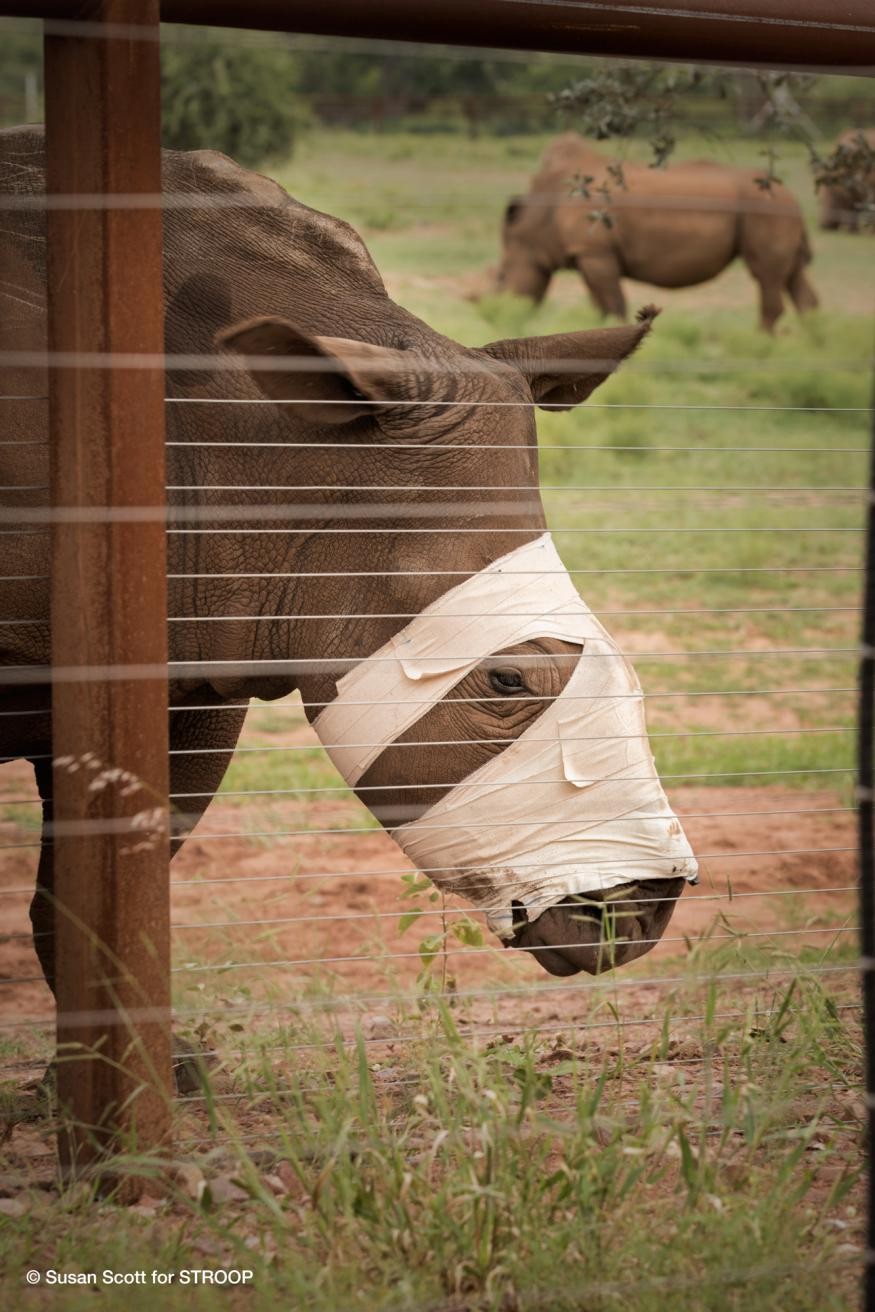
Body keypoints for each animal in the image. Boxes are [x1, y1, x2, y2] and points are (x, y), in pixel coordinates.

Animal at [493, 131, 823, 333]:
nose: (500, 314)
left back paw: (761, 345)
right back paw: (812, 346)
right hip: (775, 210)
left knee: (765, 275)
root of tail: (794, 200)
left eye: (501, 276)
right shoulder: (587, 254)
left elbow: (613, 304)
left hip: (765, 209)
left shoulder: (596, 252)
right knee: (793, 276)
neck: (538, 221)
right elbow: (600, 305)